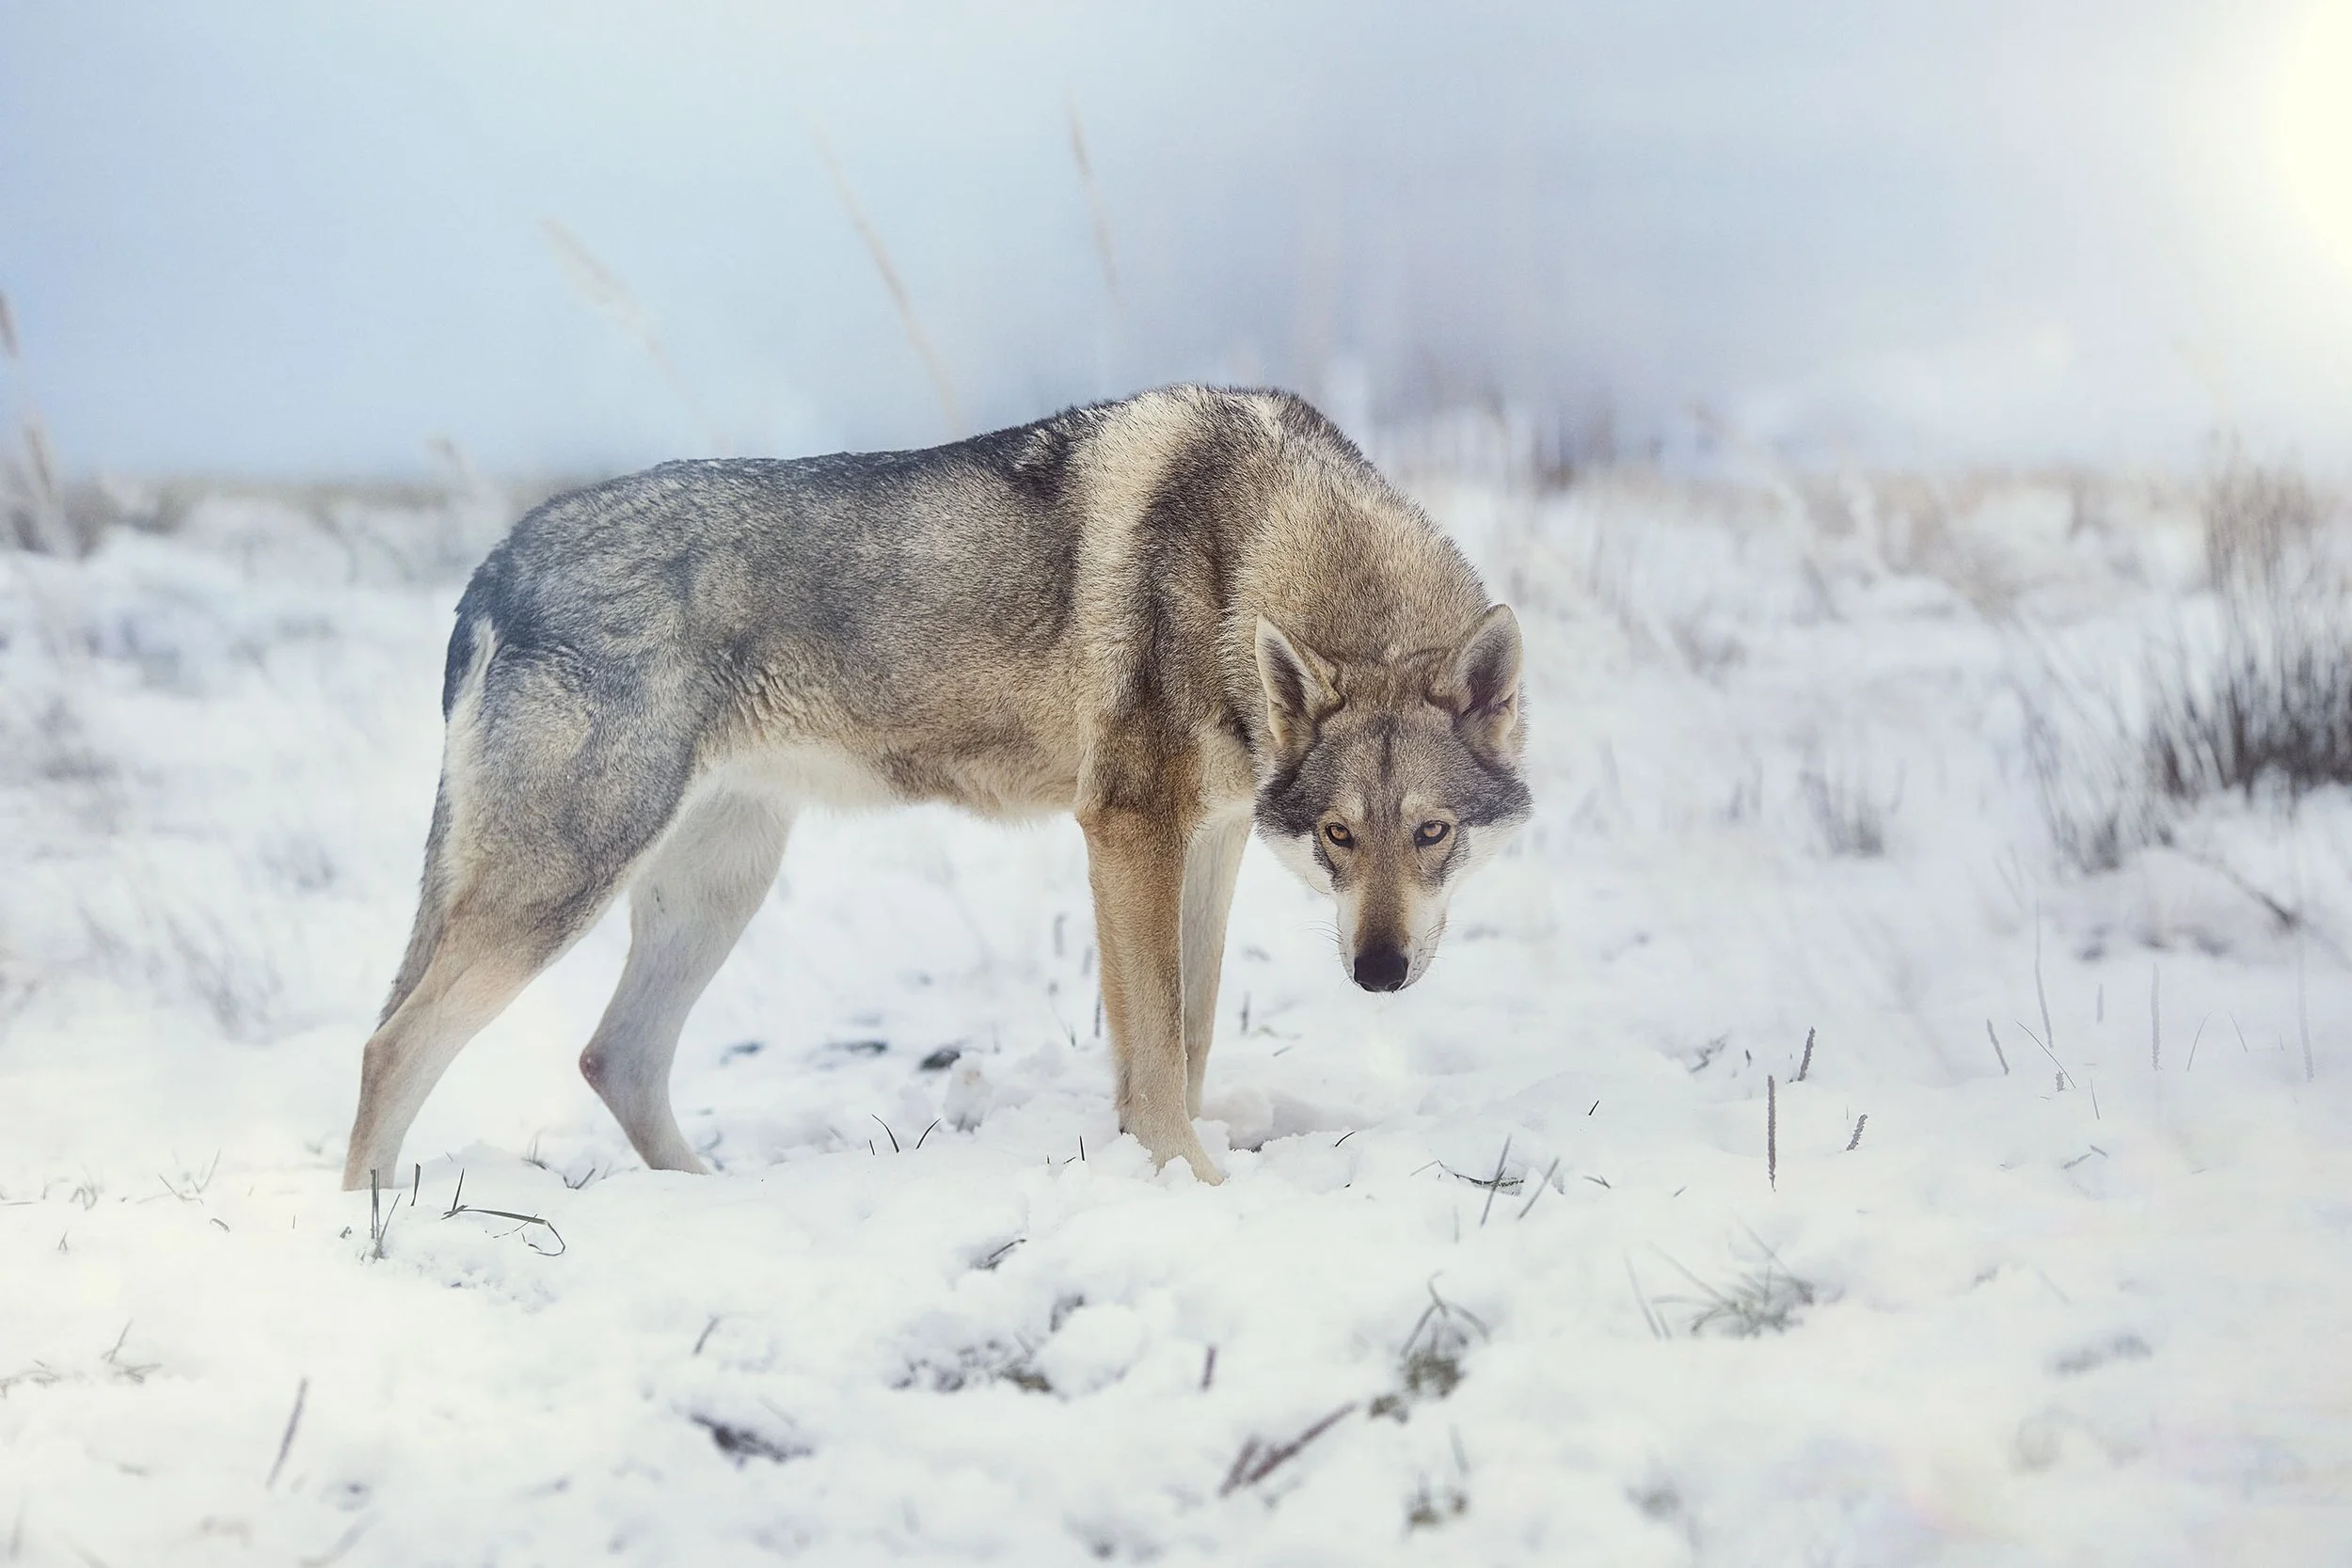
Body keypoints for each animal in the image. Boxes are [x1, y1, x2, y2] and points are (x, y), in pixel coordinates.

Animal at [342, 386, 1530, 1190]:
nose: (1379, 971)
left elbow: (1185, 1038)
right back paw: (375, 1232)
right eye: (1338, 833)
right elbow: (1153, 1051)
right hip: (565, 886)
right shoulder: (1127, 830)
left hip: (714, 890)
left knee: (613, 1058)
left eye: (1431, 833)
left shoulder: (1213, 839)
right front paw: (1190, 1181)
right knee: (392, 1045)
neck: (1252, 547)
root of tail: (499, 560)